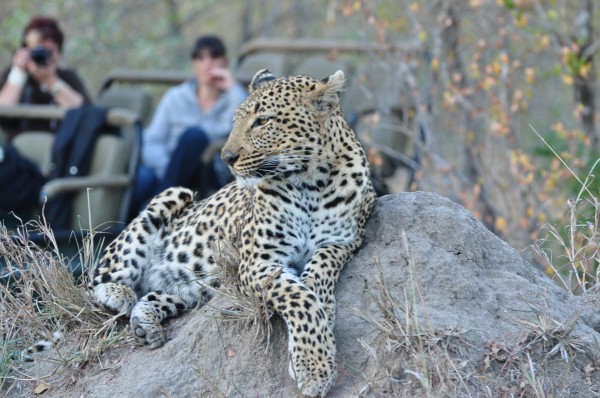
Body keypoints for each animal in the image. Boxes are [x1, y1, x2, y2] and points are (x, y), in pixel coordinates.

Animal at [91, 68, 376, 394]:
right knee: (99, 277)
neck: (310, 183)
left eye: (262, 121)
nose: (226, 157)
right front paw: (314, 366)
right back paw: (118, 293)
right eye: (236, 120)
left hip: (195, 287)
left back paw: (145, 323)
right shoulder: (256, 263)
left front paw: (323, 314)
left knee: (155, 294)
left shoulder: (343, 242)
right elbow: (298, 297)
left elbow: (319, 273)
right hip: (173, 196)